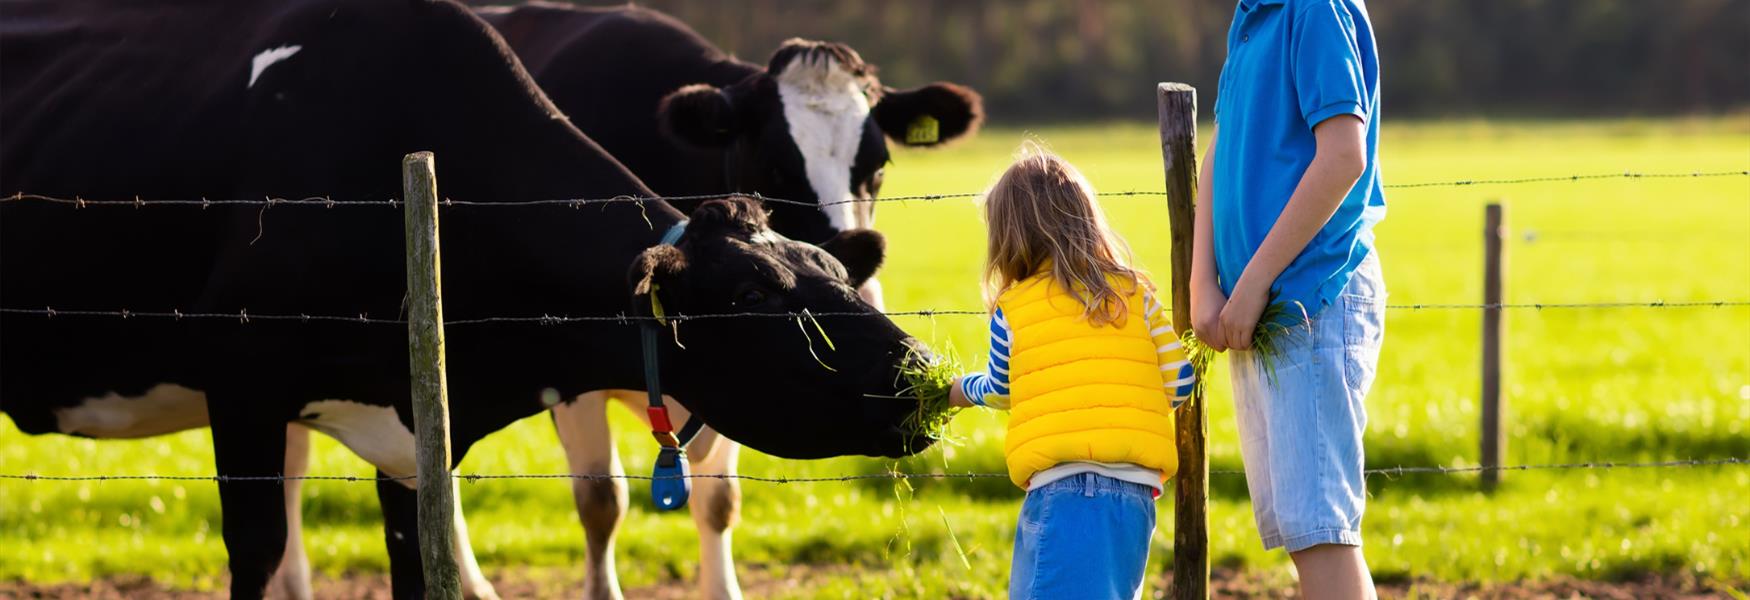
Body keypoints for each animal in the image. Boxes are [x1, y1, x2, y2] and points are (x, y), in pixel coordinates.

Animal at [3, 1, 945, 600]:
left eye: (827, 272)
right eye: (752, 291)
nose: (924, 370)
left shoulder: (416, 428)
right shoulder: (242, 385)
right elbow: (255, 551)